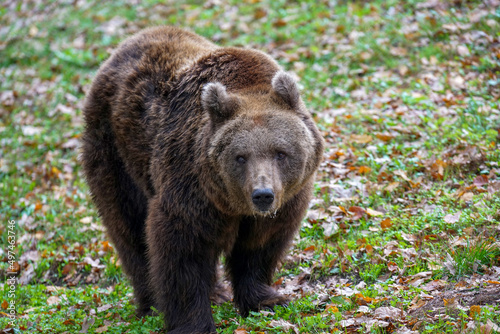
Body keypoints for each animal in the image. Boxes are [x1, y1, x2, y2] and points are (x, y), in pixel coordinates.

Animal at [81, 26, 324, 334]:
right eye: (240, 157)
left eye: (280, 152)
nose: (262, 194)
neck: (232, 203)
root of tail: (120, 50)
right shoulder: (192, 188)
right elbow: (183, 250)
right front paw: (193, 322)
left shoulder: (287, 199)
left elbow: (260, 246)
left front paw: (266, 300)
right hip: (117, 154)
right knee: (130, 228)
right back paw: (151, 303)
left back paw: (216, 292)